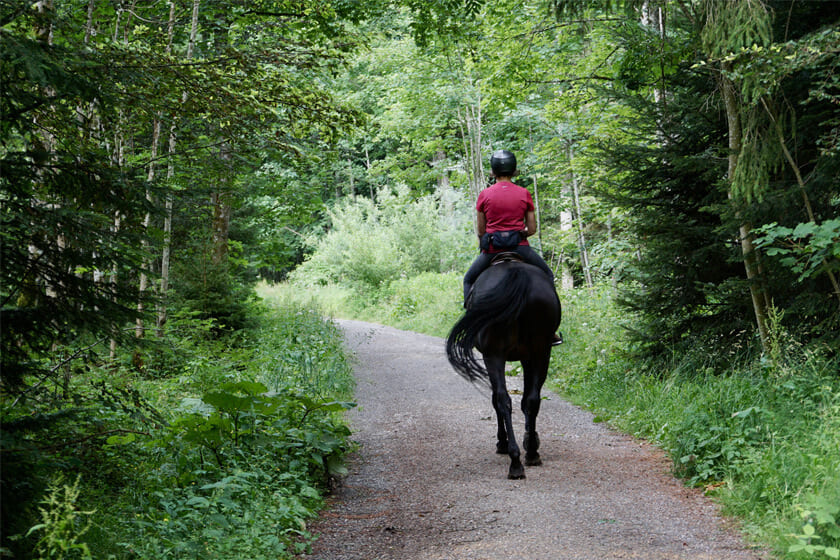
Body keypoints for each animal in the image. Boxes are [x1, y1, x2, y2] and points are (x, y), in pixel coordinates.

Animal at [442, 256, 560, 480]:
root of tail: (516, 273)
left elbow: (498, 399)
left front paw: (504, 442)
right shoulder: (528, 357)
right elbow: (526, 399)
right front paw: (529, 440)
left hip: (494, 354)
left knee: (502, 400)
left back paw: (514, 458)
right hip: (541, 351)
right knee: (530, 399)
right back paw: (530, 454)